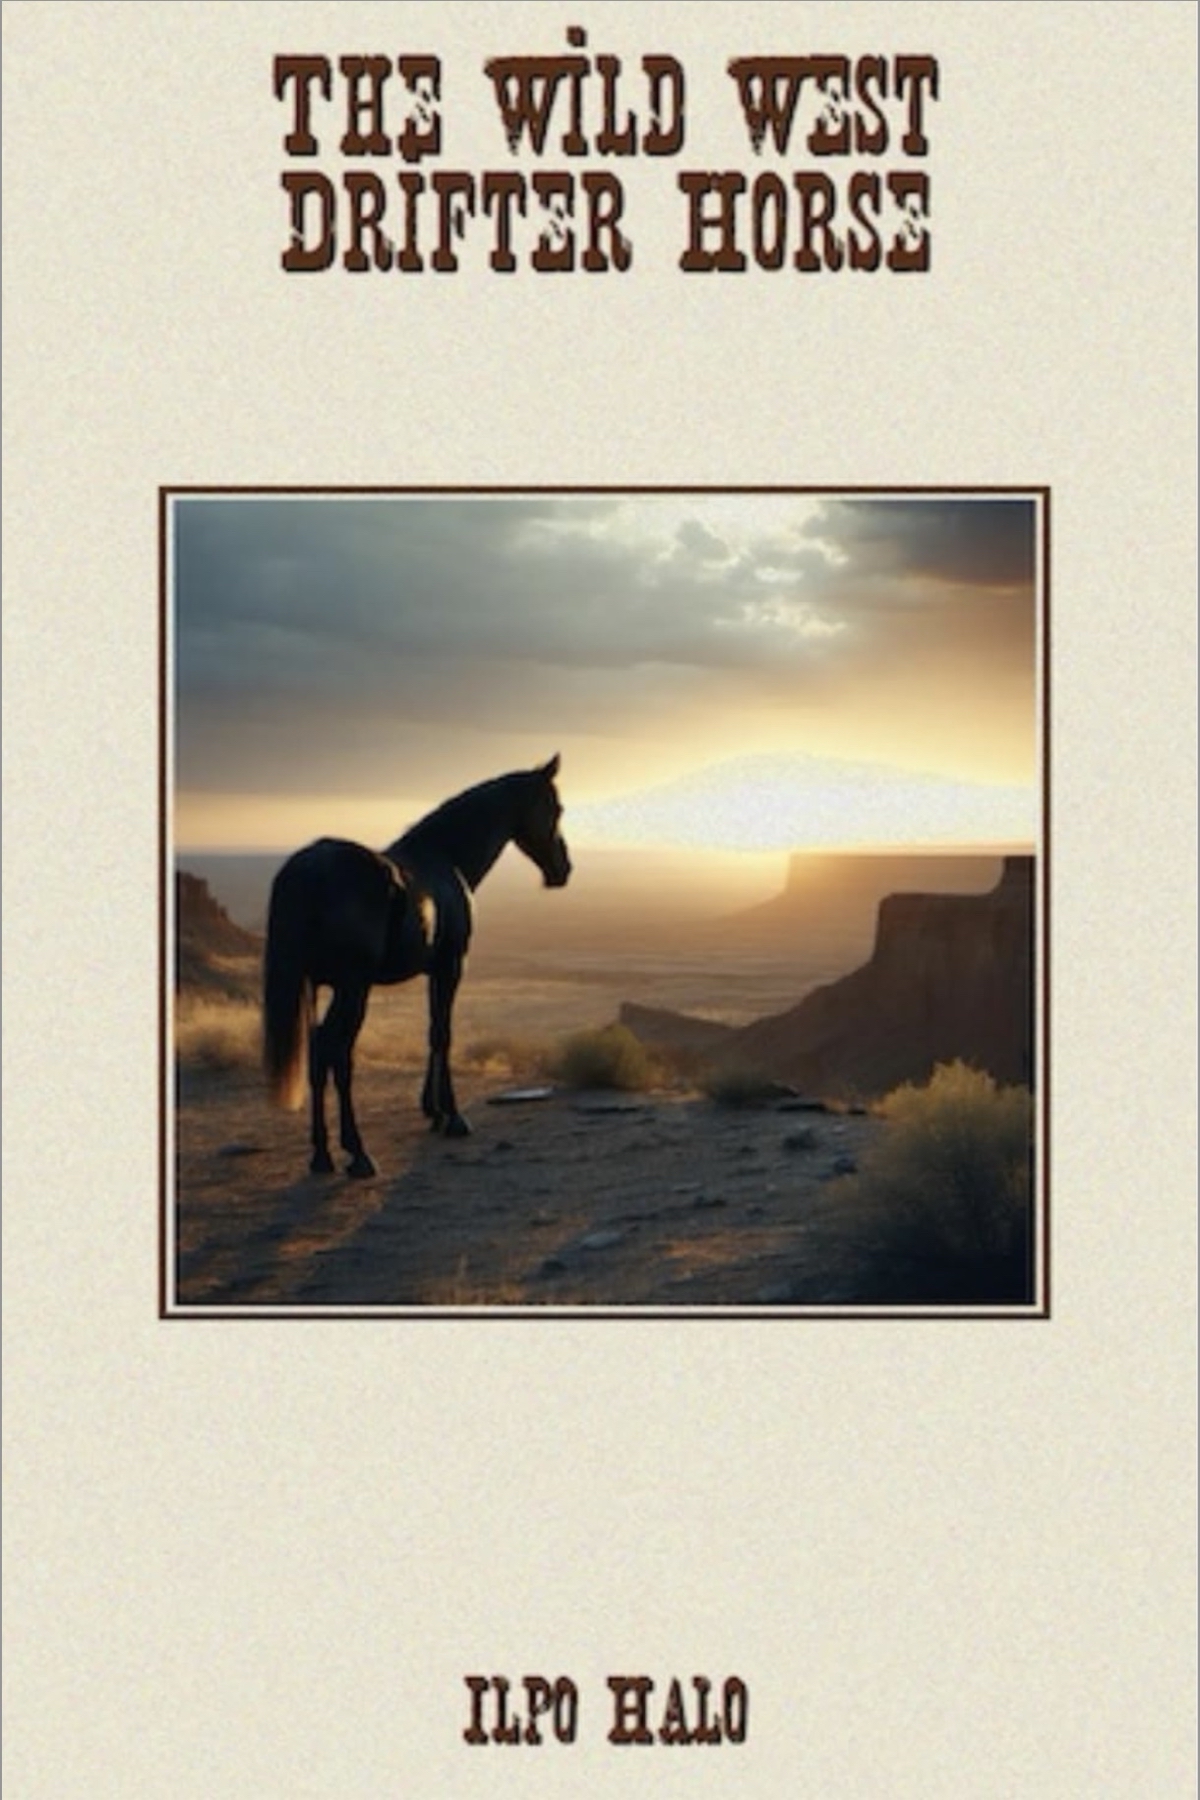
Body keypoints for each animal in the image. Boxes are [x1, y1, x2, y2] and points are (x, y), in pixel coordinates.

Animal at [261, 755, 571, 1177]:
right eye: (556, 808)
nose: (563, 869)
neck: (445, 858)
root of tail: (308, 870)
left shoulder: (432, 971)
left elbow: (431, 1030)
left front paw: (432, 1109)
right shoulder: (452, 966)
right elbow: (443, 1034)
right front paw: (453, 1116)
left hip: (316, 985)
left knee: (317, 1055)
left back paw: (321, 1155)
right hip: (352, 988)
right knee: (335, 1051)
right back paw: (356, 1152)